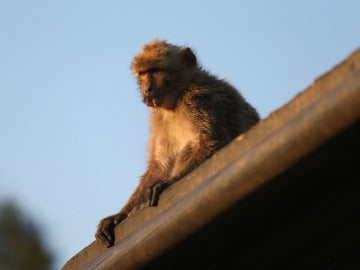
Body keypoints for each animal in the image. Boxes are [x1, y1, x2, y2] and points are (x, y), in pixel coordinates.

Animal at [95, 39, 258, 248]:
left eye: (156, 70)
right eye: (143, 74)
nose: (147, 88)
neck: (177, 97)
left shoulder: (199, 98)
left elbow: (212, 141)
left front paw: (169, 182)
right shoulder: (159, 118)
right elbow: (160, 165)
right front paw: (118, 216)